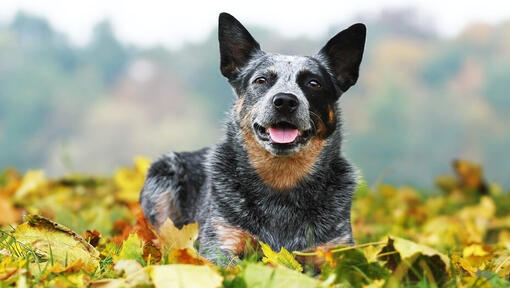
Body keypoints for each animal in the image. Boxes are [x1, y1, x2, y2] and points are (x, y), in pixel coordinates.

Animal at [140, 13, 366, 266]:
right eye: (261, 80)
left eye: (313, 83)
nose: (285, 100)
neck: (282, 183)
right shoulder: (221, 243)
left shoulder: (335, 249)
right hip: (162, 176)